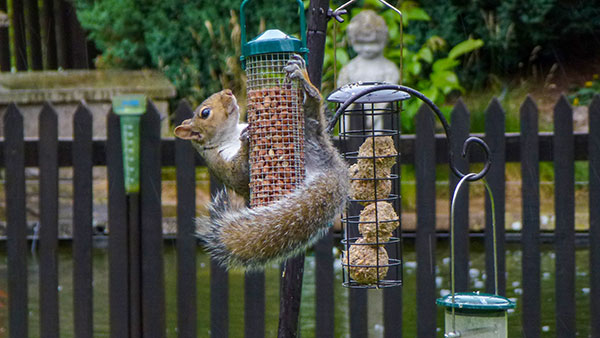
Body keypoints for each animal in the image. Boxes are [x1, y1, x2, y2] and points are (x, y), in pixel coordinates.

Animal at [173, 56, 350, 272]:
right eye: (205, 113)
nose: (228, 92)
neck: (230, 135)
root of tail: (331, 167)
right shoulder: (222, 165)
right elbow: (239, 172)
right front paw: (246, 143)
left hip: (312, 135)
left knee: (313, 114)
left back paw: (306, 83)